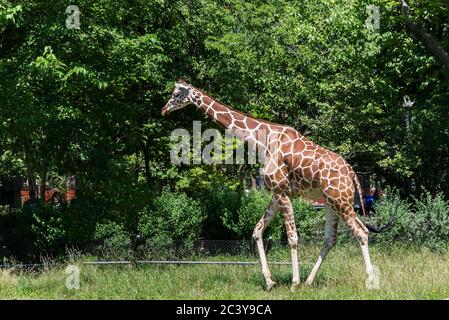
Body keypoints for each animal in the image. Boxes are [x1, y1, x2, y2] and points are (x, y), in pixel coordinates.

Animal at [161, 79, 378, 290]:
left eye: (176, 94)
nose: (164, 109)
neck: (261, 141)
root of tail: (351, 172)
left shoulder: (282, 191)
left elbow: (292, 236)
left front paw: (294, 283)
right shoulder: (275, 193)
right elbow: (257, 231)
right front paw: (269, 281)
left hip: (341, 200)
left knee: (361, 231)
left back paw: (370, 281)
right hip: (329, 201)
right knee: (330, 239)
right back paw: (310, 281)